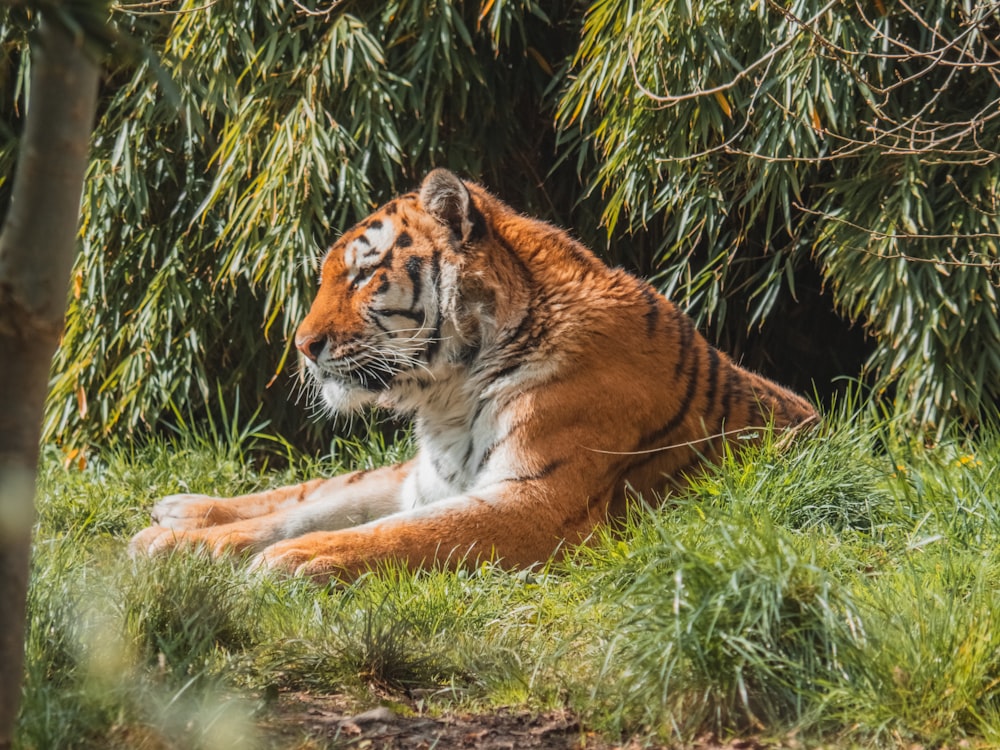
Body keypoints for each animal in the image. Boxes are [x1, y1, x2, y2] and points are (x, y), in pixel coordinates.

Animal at [129, 169, 816, 580]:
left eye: (362, 275)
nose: (302, 347)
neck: (448, 397)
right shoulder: (427, 481)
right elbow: (310, 507)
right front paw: (176, 546)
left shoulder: (535, 501)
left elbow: (396, 534)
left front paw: (294, 559)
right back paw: (180, 510)